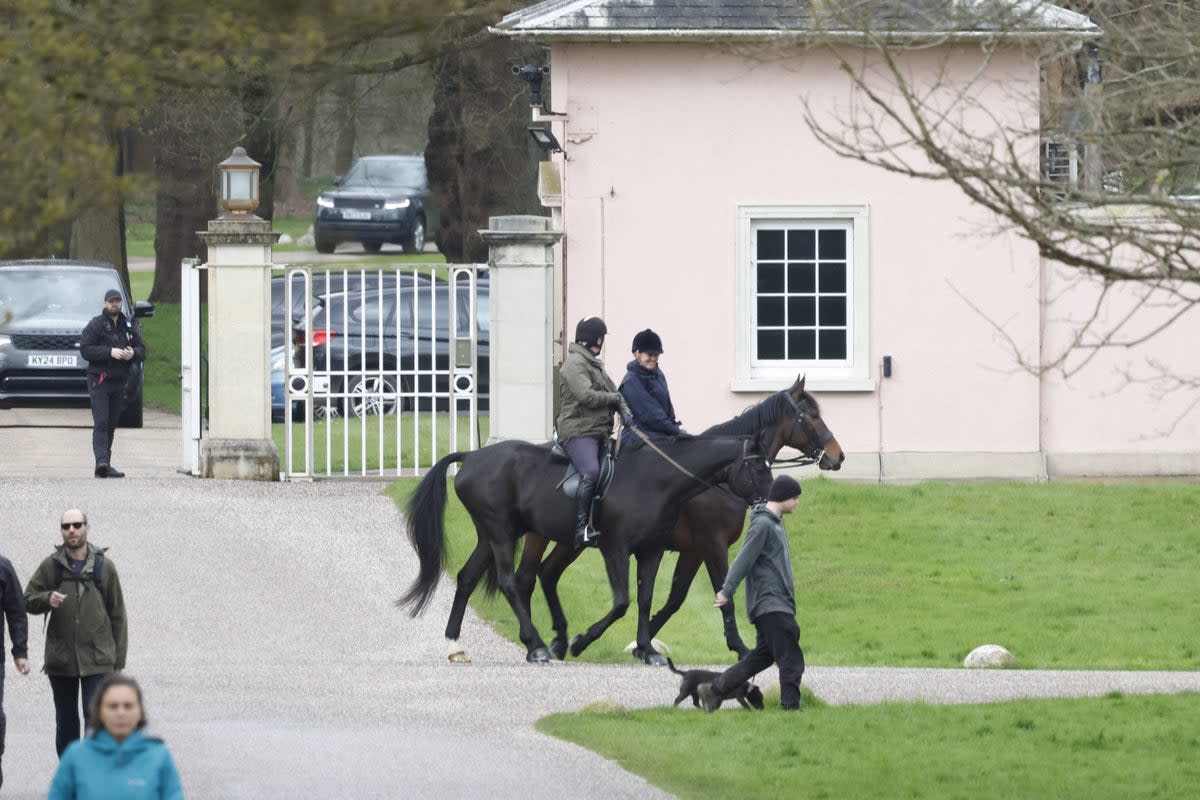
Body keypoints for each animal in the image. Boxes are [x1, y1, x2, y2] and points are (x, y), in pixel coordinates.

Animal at [396, 431, 768, 662]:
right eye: (756, 465)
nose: (767, 500)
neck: (655, 480)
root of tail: (472, 456)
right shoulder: (616, 549)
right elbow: (622, 602)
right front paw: (581, 641)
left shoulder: (652, 551)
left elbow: (645, 599)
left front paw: (648, 650)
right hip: (502, 533)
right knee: (511, 582)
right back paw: (537, 645)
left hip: (493, 535)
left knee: (470, 577)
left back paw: (455, 640)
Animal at [516, 376, 844, 662]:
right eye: (811, 415)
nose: (837, 456)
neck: (714, 480)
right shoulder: (712, 544)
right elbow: (722, 592)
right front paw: (738, 647)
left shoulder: (691, 551)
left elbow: (674, 598)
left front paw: (643, 644)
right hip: (540, 536)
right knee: (525, 578)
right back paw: (537, 642)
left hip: (569, 541)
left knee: (547, 573)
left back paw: (556, 641)